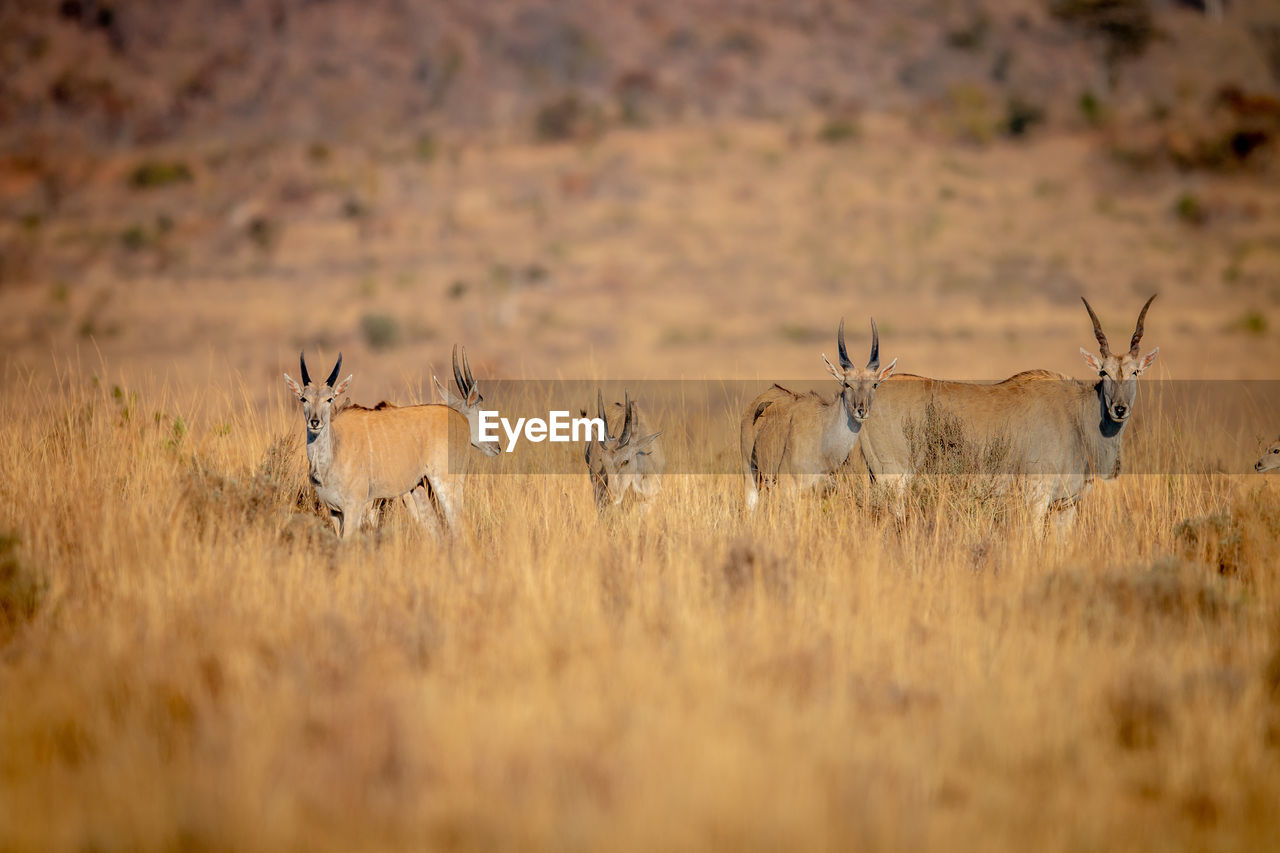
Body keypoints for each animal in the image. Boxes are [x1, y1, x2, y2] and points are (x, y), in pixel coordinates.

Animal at [282, 348, 478, 535]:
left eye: (329, 399)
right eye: (303, 399)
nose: (315, 422)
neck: (334, 450)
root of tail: (461, 419)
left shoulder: (355, 507)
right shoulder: (334, 512)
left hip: (446, 485)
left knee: (461, 526)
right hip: (418, 488)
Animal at [855, 294, 1167, 525]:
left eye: (1135, 372)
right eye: (1103, 372)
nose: (1119, 409)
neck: (1075, 416)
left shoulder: (1065, 506)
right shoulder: (1036, 499)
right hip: (894, 481)